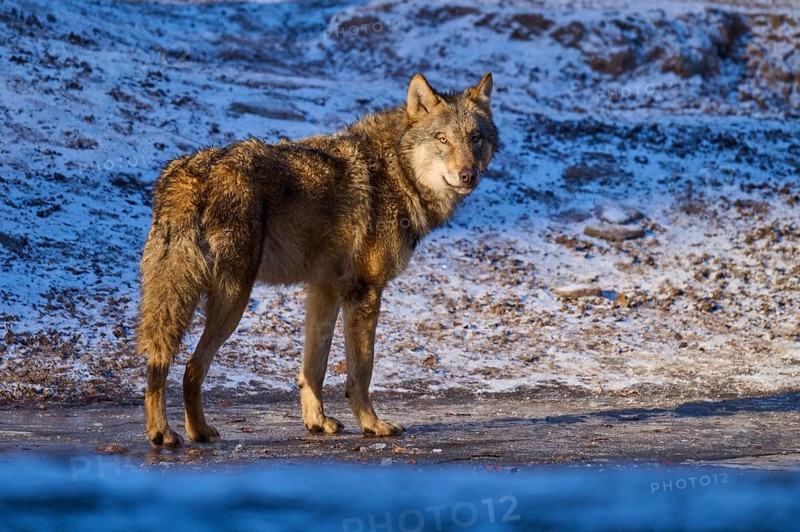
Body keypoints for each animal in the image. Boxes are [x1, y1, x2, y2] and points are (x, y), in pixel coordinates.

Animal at [137, 72, 498, 447]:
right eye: (442, 139)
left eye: (475, 138)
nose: (468, 174)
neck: (396, 170)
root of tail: (188, 175)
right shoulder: (364, 291)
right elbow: (361, 372)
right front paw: (372, 425)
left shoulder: (323, 289)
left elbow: (314, 367)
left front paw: (317, 421)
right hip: (232, 300)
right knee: (192, 365)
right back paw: (182, 432)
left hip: (181, 298)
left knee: (162, 360)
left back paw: (176, 431)